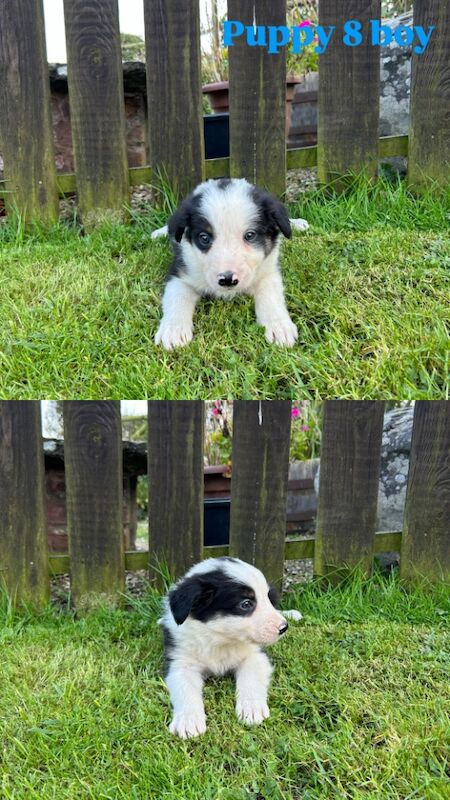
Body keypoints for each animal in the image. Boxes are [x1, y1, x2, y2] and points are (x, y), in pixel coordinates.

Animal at [154, 181, 306, 350]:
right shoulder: (180, 271)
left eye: (250, 235)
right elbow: (177, 297)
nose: (227, 279)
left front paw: (279, 326)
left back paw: (297, 223)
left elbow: (270, 296)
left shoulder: (268, 271)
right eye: (204, 238)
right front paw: (173, 330)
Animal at [159, 556, 302, 736]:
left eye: (265, 598)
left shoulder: (255, 655)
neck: (220, 640)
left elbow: (250, 680)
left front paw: (252, 708)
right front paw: (188, 721)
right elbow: (185, 689)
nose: (283, 627)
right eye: (246, 604)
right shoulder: (181, 663)